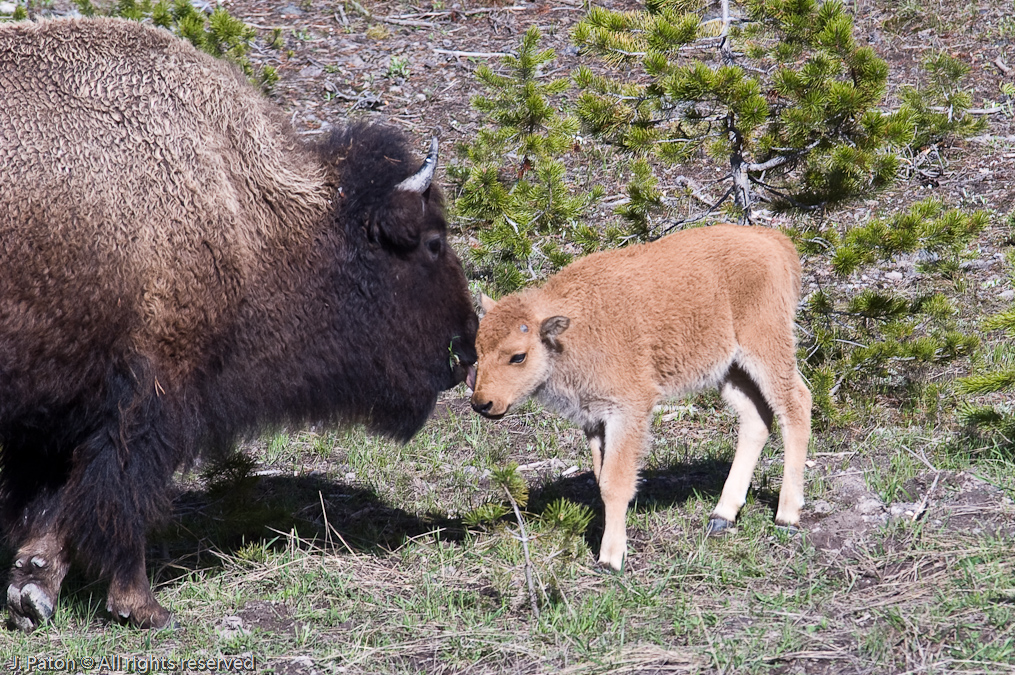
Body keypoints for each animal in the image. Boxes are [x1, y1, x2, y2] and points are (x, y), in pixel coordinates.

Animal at [0, 17, 478, 631]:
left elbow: (57, 498)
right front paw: (141, 605)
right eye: (433, 242)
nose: (466, 345)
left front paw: (32, 589)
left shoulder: (65, 406)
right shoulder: (150, 390)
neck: (245, 208)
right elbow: (123, 492)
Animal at [468, 224, 811, 571]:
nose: (482, 403)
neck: (571, 331)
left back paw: (786, 516)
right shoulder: (594, 419)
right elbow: (601, 477)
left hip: (766, 347)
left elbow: (615, 481)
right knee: (757, 418)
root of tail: (774, 241)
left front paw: (611, 558)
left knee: (796, 403)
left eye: (518, 356)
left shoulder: (628, 411)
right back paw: (722, 515)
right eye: (478, 349)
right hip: (729, 369)